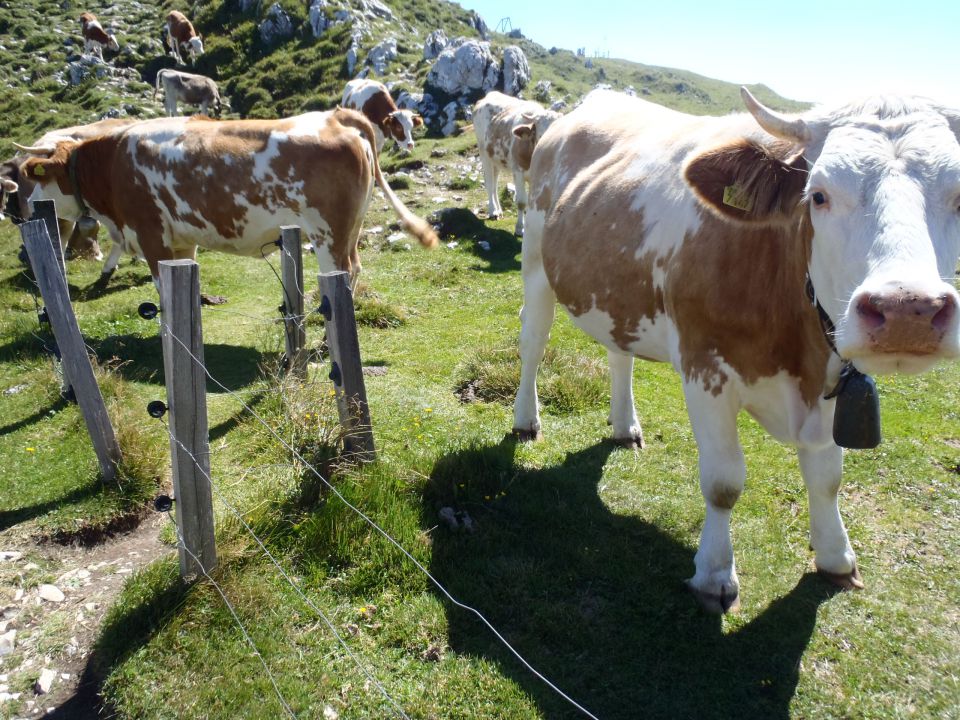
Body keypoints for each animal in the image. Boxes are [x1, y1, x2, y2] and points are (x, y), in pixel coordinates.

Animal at [16, 107, 436, 292]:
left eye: (36, 177)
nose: (26, 206)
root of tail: (337, 115)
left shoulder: (151, 234)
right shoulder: (180, 240)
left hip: (329, 234)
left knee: (341, 274)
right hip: (351, 230)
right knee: (357, 268)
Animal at [474, 89, 564, 236]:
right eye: (540, 135)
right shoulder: (518, 172)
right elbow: (522, 201)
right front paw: (520, 228)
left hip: (496, 158)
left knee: (494, 184)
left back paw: (498, 210)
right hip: (483, 152)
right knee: (489, 182)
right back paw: (492, 211)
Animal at [512, 86, 960, 612]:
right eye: (818, 195)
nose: (907, 309)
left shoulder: (832, 377)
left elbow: (827, 477)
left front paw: (835, 557)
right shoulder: (705, 369)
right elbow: (724, 482)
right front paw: (714, 574)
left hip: (617, 289)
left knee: (619, 352)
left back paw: (624, 425)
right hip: (536, 259)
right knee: (533, 342)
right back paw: (526, 420)